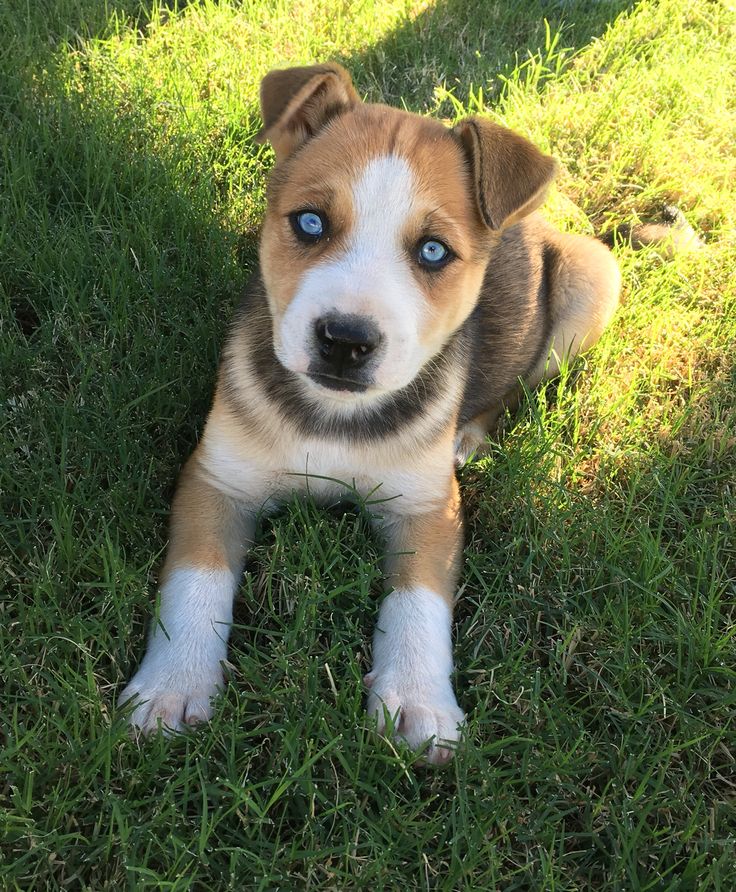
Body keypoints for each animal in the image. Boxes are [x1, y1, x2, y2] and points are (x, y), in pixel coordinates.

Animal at [121, 62, 620, 764]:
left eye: (434, 252)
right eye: (309, 223)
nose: (345, 340)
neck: (333, 414)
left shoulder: (427, 508)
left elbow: (417, 605)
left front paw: (416, 701)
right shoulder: (217, 481)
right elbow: (195, 581)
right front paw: (174, 683)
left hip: (594, 279)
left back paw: (469, 436)